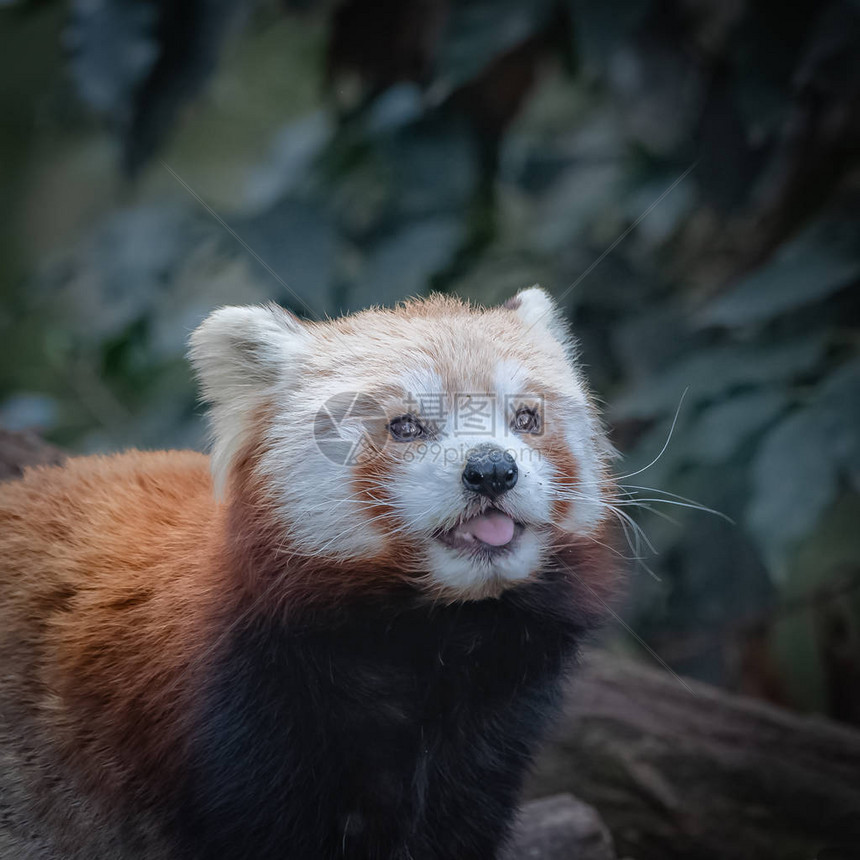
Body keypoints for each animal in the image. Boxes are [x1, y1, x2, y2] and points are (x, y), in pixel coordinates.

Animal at [0, 290, 620, 860]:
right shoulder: (243, 717)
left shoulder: (491, 727)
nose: (492, 470)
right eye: (405, 427)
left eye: (526, 419)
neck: (426, 638)